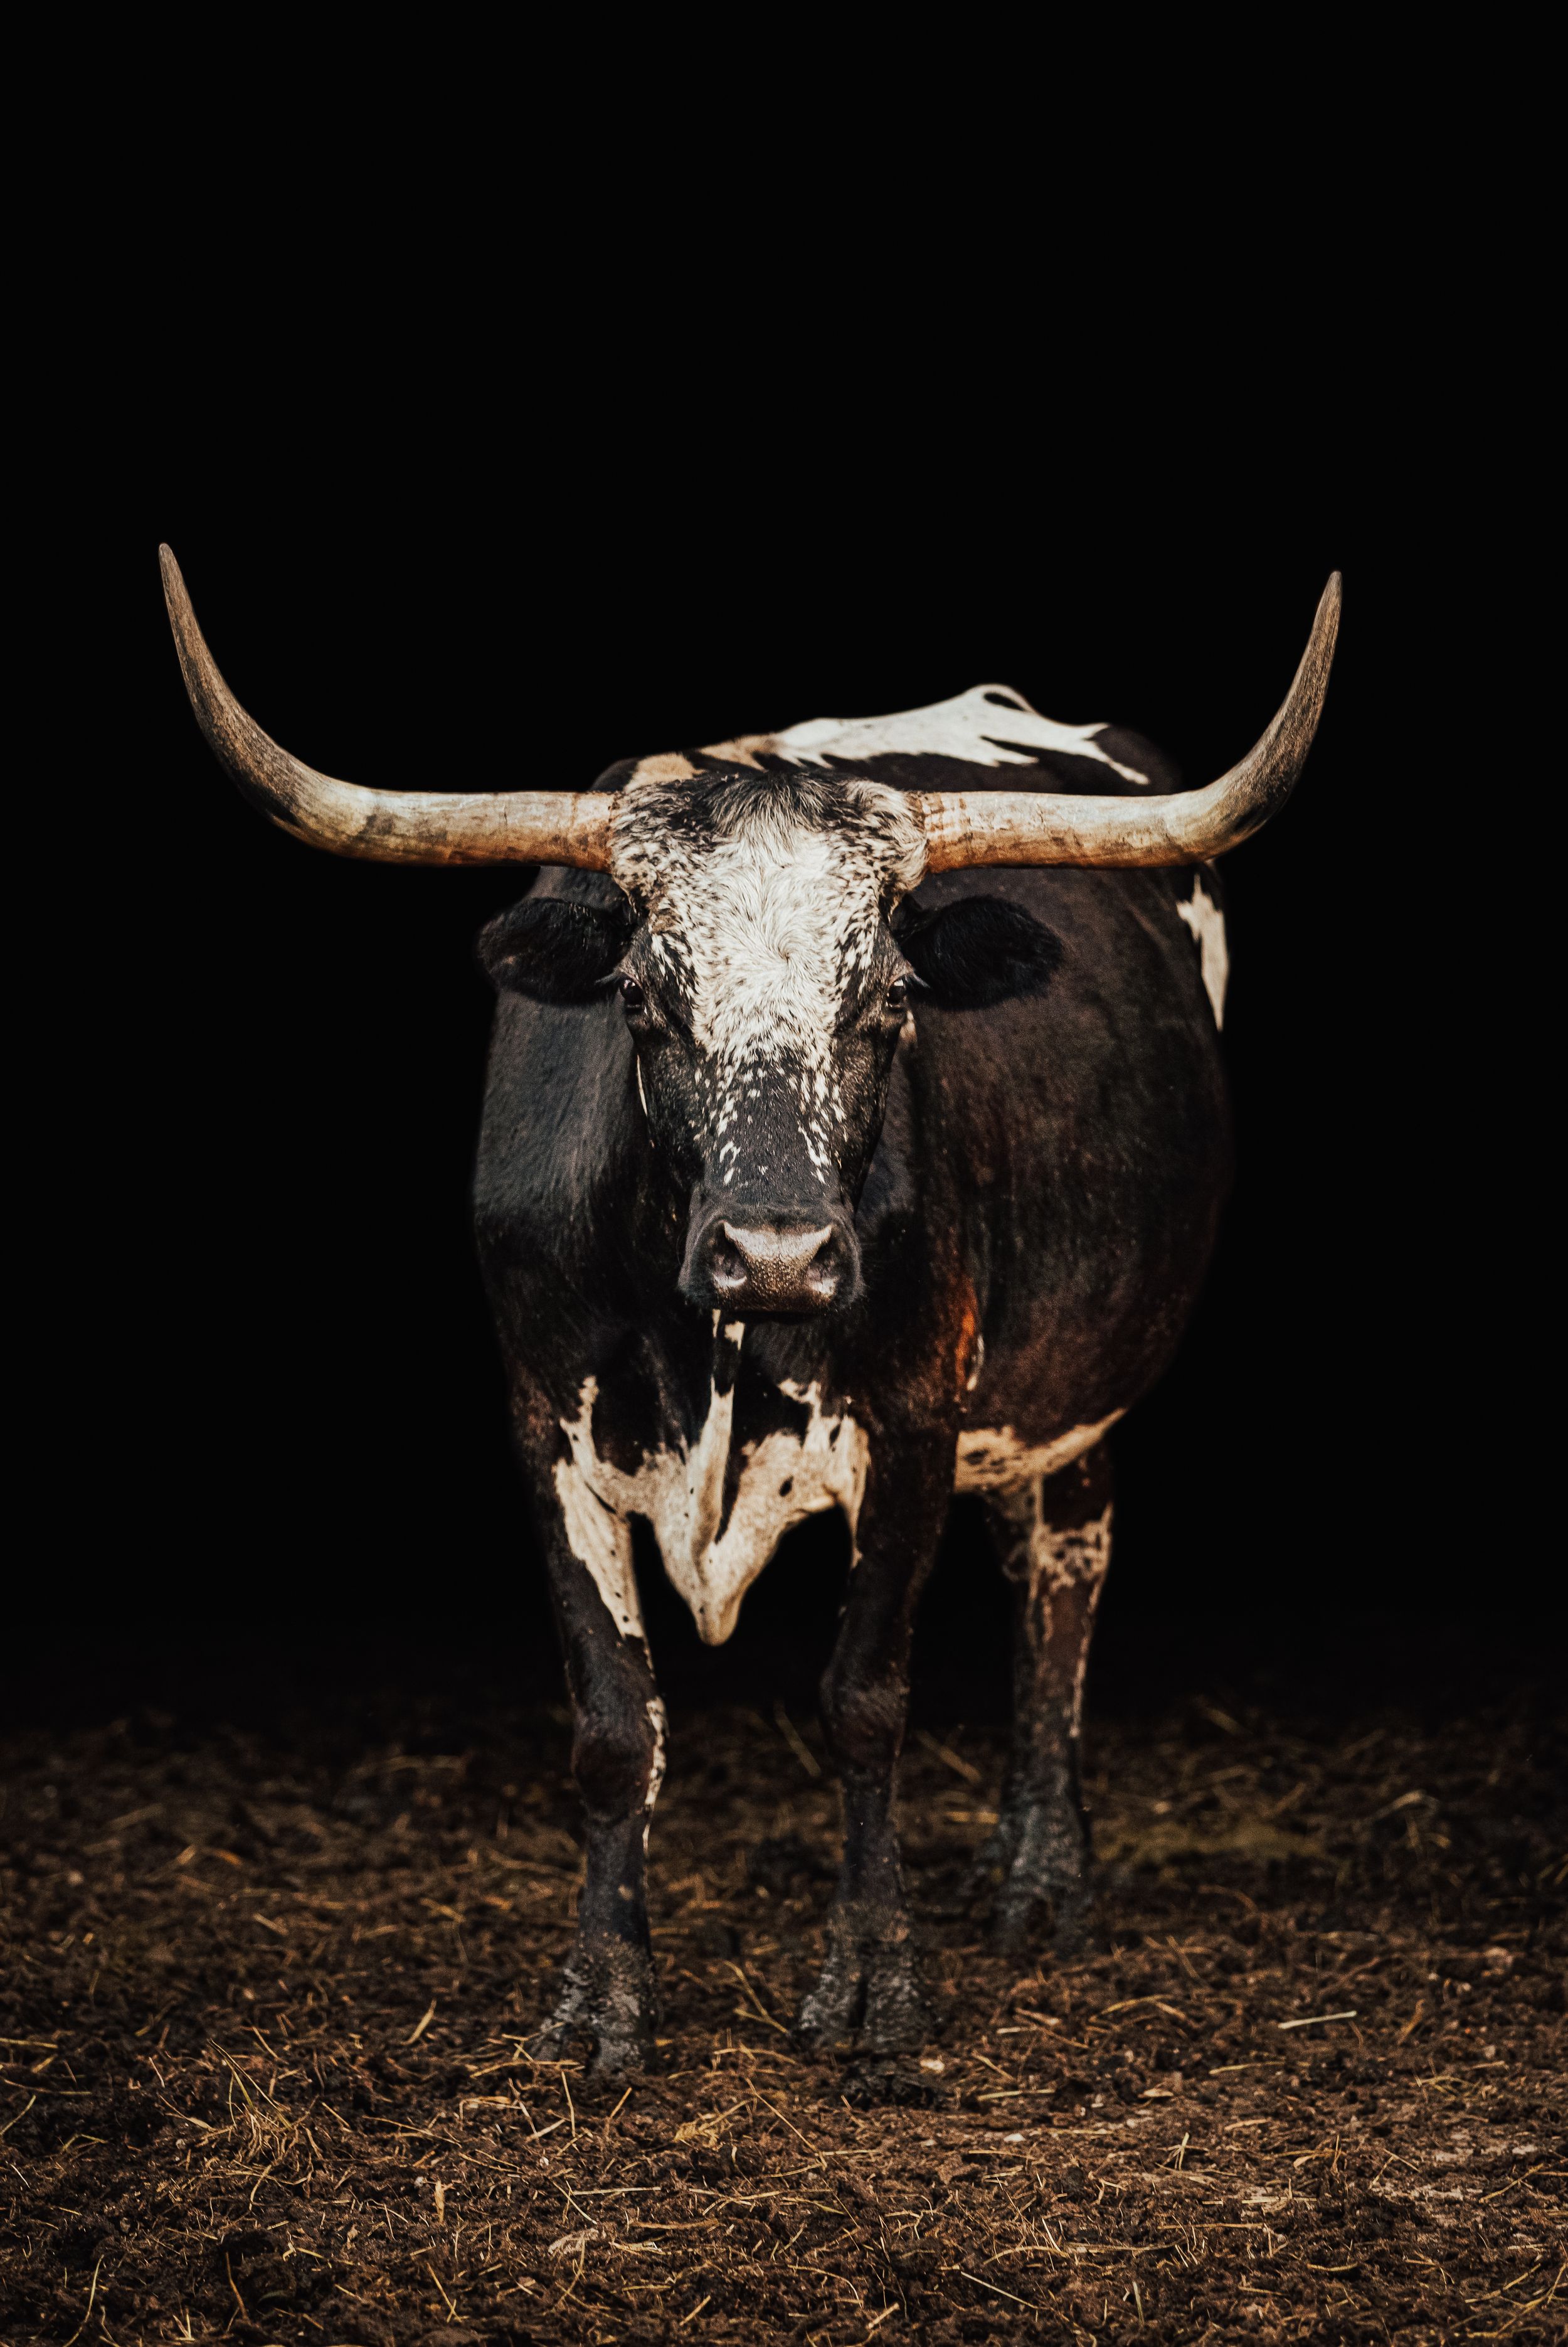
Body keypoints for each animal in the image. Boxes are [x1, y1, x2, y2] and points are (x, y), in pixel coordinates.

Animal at [161, 548, 1339, 2078]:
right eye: (643, 995)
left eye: (889, 998)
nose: (774, 1254)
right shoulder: (541, 1423)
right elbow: (614, 1719)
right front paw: (599, 1998)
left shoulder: (913, 1420)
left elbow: (865, 1702)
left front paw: (875, 1985)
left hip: (1074, 1386)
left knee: (1060, 1572)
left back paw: (1039, 1873)